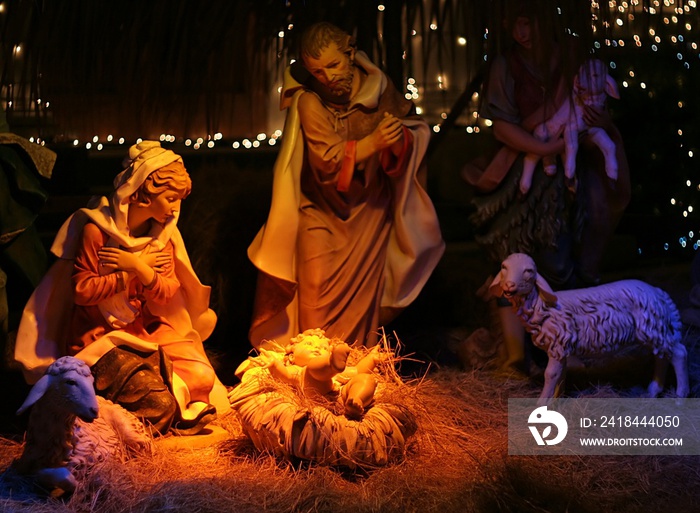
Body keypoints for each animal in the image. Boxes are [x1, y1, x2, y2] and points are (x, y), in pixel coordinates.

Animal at [490, 254, 692, 402]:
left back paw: (680, 396)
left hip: (653, 327)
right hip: (654, 329)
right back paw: (653, 391)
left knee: (679, 353)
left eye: (529, 271)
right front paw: (556, 400)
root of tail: (658, 292)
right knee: (662, 356)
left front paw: (542, 404)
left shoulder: (558, 344)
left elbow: (551, 374)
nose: (509, 286)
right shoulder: (562, 348)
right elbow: (561, 375)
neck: (543, 306)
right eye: (504, 267)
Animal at [520, 58, 616, 194]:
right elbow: (573, 146)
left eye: (595, 75)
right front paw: (569, 174)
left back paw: (555, 171)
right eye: (580, 70)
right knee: (531, 157)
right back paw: (524, 187)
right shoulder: (570, 127)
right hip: (541, 136)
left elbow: (609, 145)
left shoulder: (593, 130)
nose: (578, 82)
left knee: (549, 153)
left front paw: (612, 178)